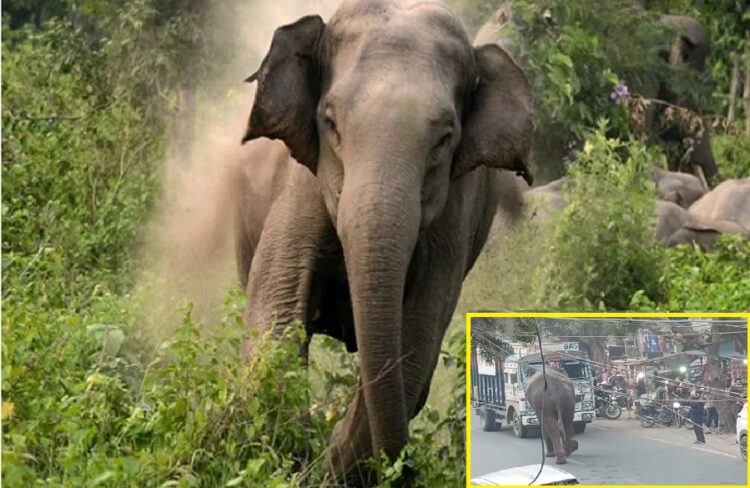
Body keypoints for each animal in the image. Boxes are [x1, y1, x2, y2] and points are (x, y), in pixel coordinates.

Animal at [235, 0, 536, 482]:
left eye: (444, 139)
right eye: (330, 123)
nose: (405, 469)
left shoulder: (454, 217)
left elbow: (415, 340)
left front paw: (329, 466)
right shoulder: (300, 186)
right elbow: (276, 311)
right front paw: (299, 458)